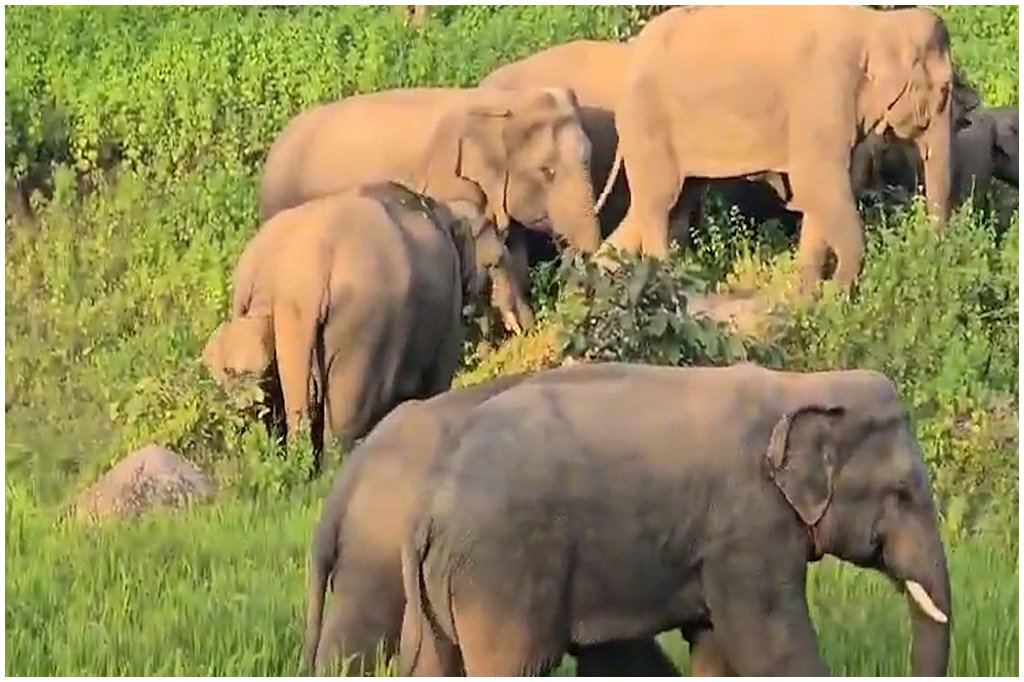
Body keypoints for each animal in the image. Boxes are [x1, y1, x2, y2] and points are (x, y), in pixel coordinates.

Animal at [201, 181, 514, 473]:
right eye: (495, 263)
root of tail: (306, 274)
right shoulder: (448, 310)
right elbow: (437, 379)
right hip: (363, 331)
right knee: (344, 415)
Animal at [399, 362, 952, 676]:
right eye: (901, 494)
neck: (800, 387)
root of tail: (427, 506)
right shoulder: (746, 523)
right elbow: (770, 642)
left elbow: (715, 644)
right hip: (503, 577)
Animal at [598, 6, 955, 294]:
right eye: (945, 90)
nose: (930, 248)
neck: (881, 24)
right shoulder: (823, 90)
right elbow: (816, 182)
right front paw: (835, 296)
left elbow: (822, 192)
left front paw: (808, 299)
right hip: (647, 120)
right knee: (660, 203)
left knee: (665, 202)